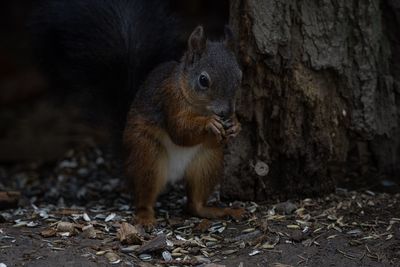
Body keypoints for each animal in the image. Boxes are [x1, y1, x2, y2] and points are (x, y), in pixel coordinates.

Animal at [31, 0, 244, 227]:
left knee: (195, 204)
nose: (226, 111)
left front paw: (236, 125)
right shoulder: (168, 101)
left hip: (207, 160)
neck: (197, 104)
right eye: (203, 80)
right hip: (147, 156)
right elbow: (180, 131)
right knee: (144, 195)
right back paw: (145, 217)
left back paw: (216, 210)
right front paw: (209, 123)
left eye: (240, 76)